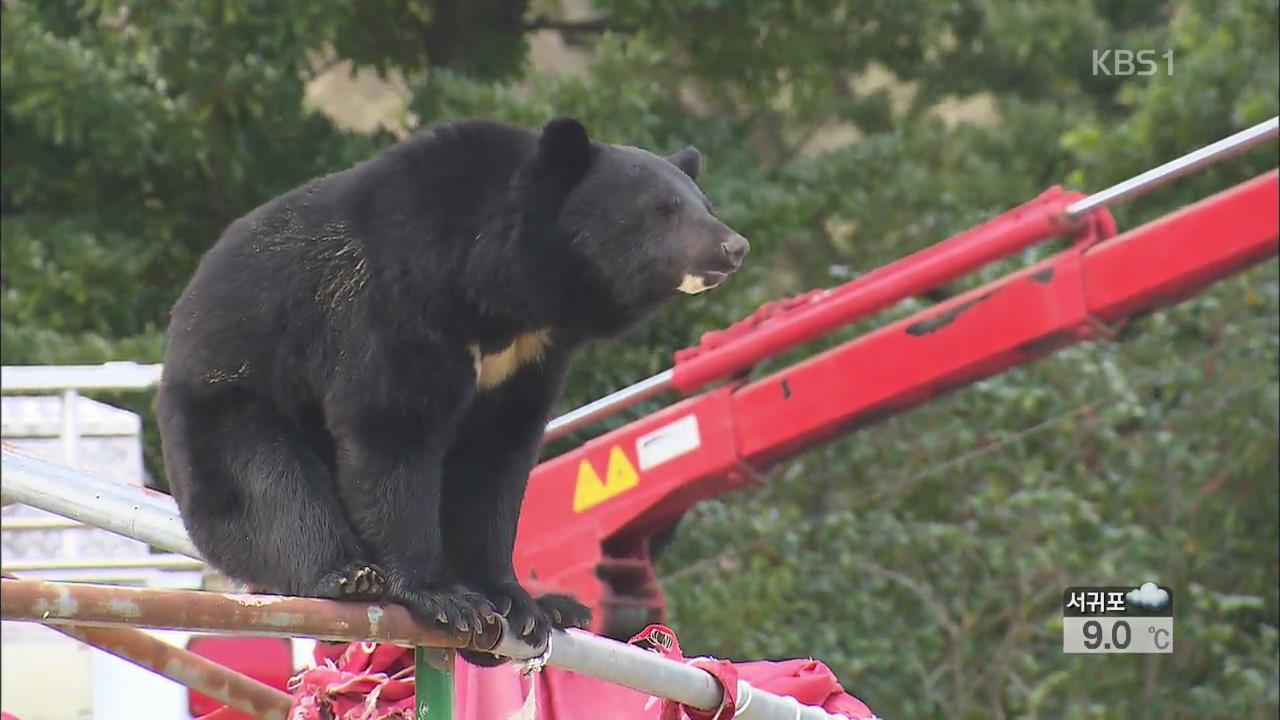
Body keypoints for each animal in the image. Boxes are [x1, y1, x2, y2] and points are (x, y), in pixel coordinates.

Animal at [154, 116, 747, 661]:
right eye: (662, 209)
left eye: (705, 205)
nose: (733, 246)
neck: (506, 297)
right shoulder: (395, 305)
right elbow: (392, 428)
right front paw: (441, 597)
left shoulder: (532, 356)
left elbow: (496, 457)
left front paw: (517, 601)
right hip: (228, 406)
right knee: (272, 487)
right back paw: (346, 575)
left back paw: (561, 606)